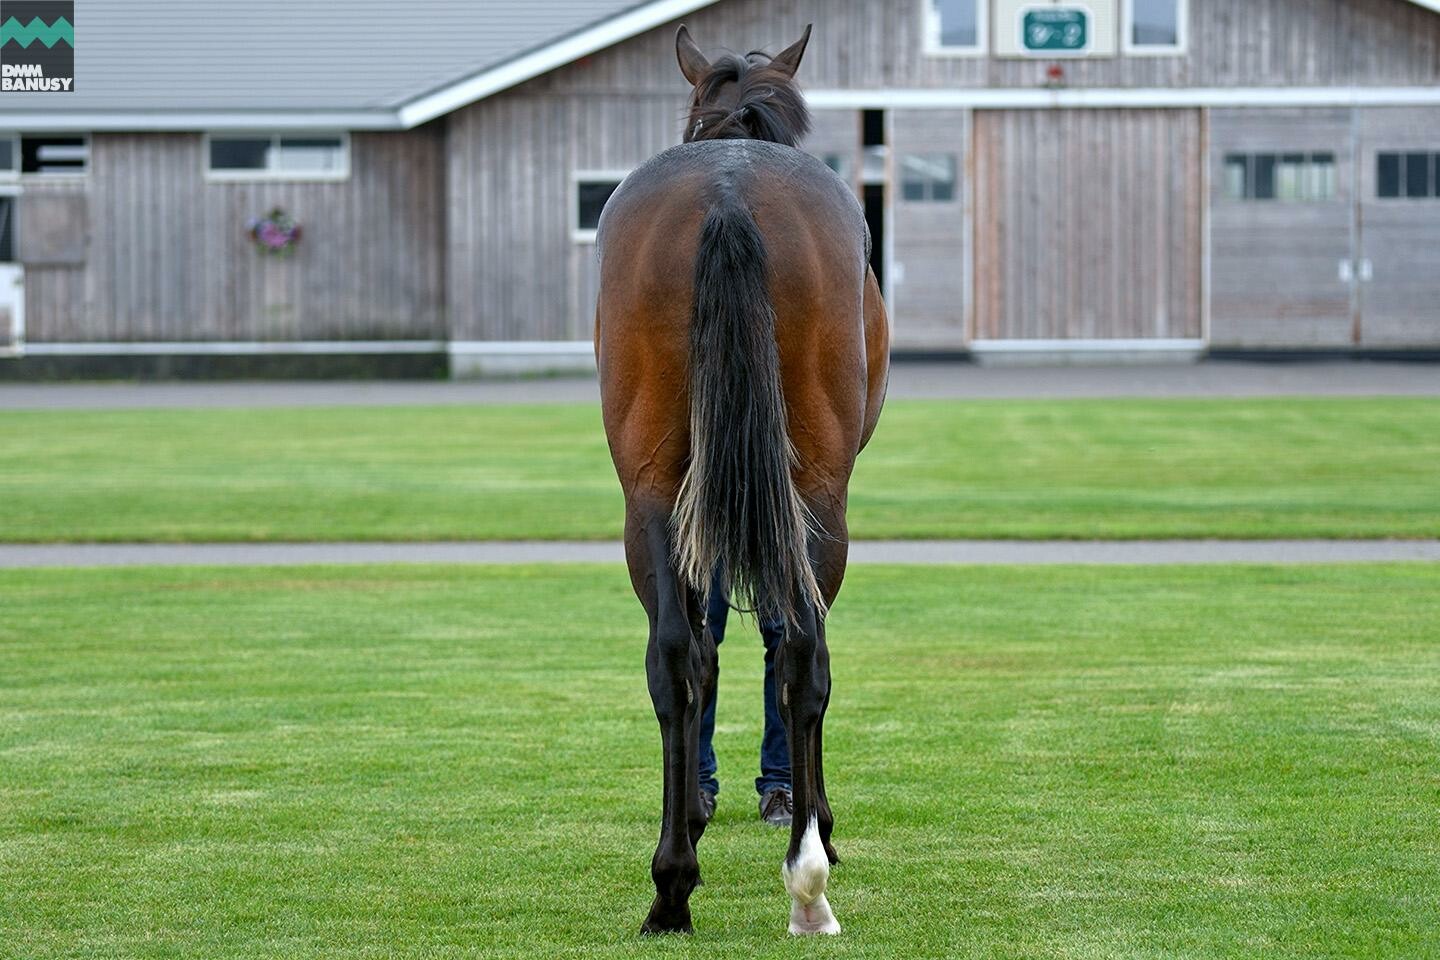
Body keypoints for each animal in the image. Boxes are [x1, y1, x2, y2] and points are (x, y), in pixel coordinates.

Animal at [590, 24, 881, 938]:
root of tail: (728, 191)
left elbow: (711, 642)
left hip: (654, 489)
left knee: (681, 656)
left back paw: (676, 885)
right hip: (816, 498)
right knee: (799, 653)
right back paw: (802, 870)